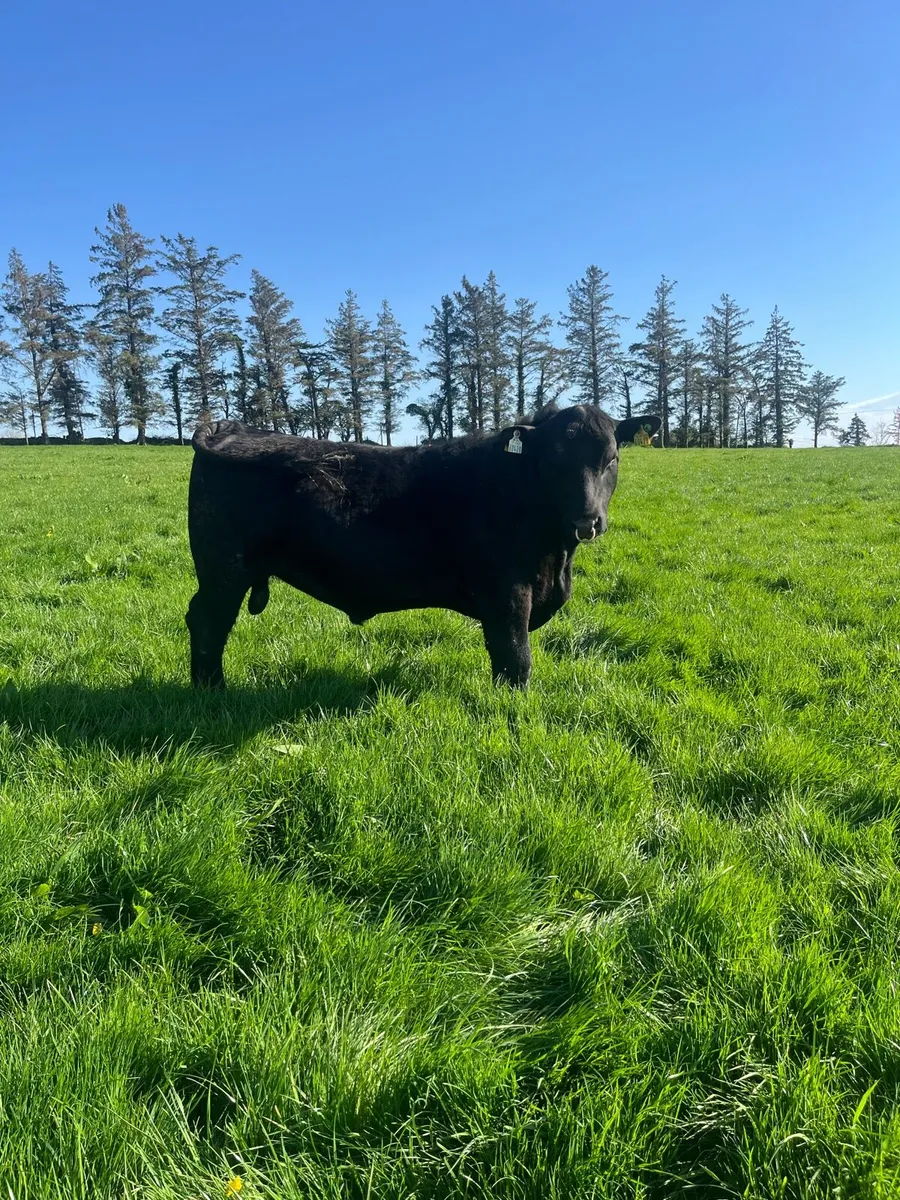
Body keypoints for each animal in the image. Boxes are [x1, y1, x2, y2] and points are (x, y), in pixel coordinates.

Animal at [185, 405, 660, 690]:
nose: (587, 521)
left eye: (613, 458)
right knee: (208, 623)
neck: (556, 558)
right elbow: (514, 658)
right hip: (223, 570)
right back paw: (213, 692)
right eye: (554, 460)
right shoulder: (507, 594)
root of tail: (228, 429)